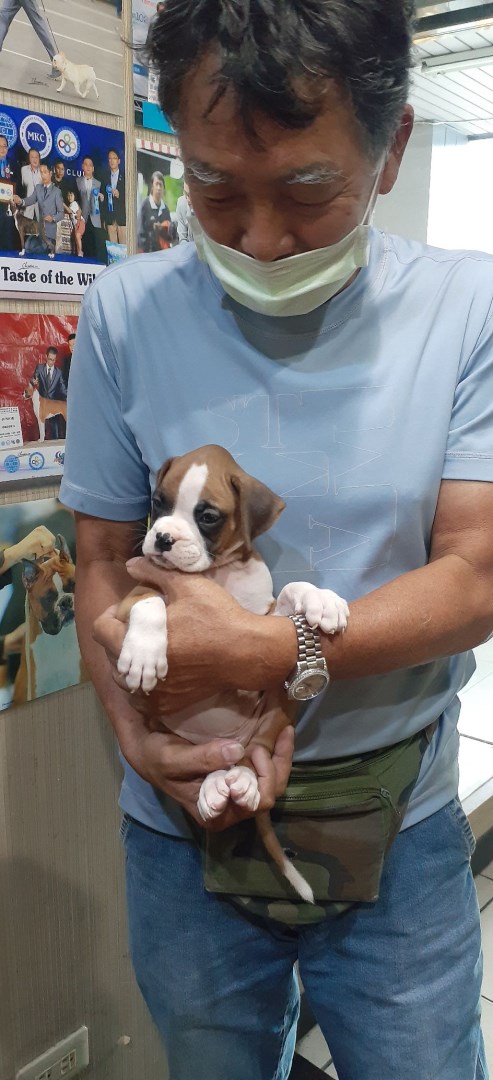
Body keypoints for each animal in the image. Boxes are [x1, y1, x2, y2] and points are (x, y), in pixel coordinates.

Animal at [116, 445, 349, 902]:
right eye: (158, 502)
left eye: (207, 516)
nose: (163, 538)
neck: (215, 573)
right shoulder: (125, 602)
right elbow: (151, 600)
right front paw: (144, 653)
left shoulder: (262, 617)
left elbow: (293, 588)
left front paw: (322, 600)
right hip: (163, 730)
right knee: (210, 763)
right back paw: (213, 787)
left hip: (278, 711)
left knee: (248, 755)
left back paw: (241, 782)